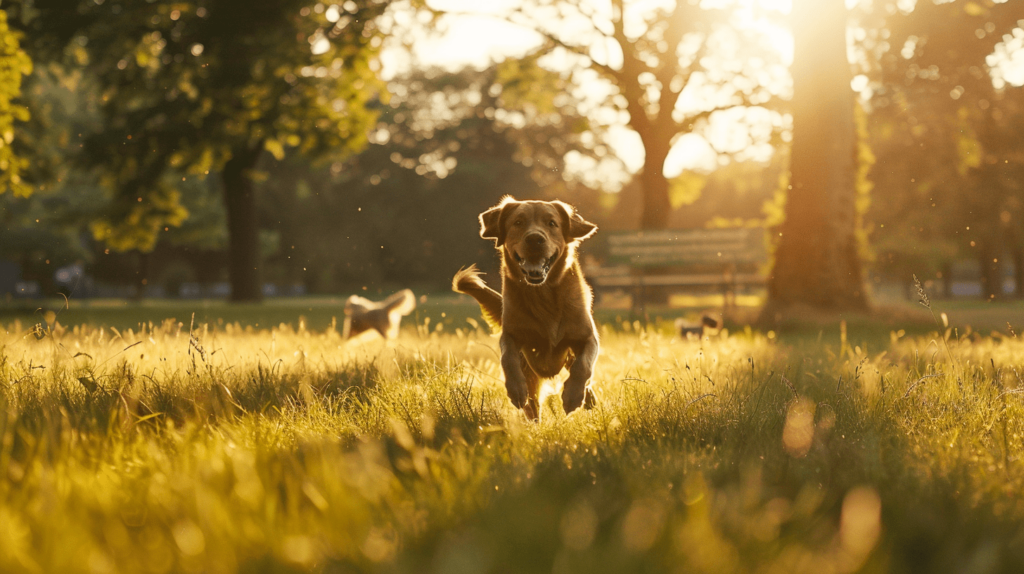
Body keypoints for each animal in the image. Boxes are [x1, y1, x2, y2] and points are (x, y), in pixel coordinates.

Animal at [450, 195, 598, 415]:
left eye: (552, 223)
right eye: (518, 222)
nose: (535, 239)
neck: (542, 295)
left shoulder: (587, 337)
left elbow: (583, 366)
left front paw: (573, 396)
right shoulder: (511, 335)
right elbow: (508, 359)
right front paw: (516, 389)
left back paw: (588, 397)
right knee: (533, 406)